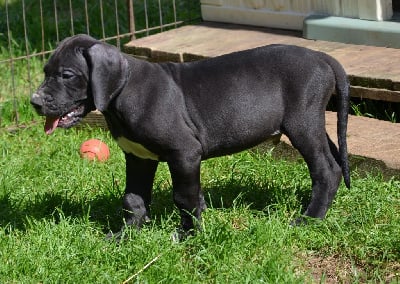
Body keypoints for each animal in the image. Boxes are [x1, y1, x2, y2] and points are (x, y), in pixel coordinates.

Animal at [31, 34, 350, 239]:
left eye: (67, 75)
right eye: (45, 71)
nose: (34, 101)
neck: (124, 91)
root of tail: (321, 56)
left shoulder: (184, 153)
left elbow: (184, 197)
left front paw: (188, 235)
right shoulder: (138, 157)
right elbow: (133, 198)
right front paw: (125, 234)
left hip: (302, 123)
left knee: (326, 170)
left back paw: (310, 218)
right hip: (313, 124)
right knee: (335, 157)